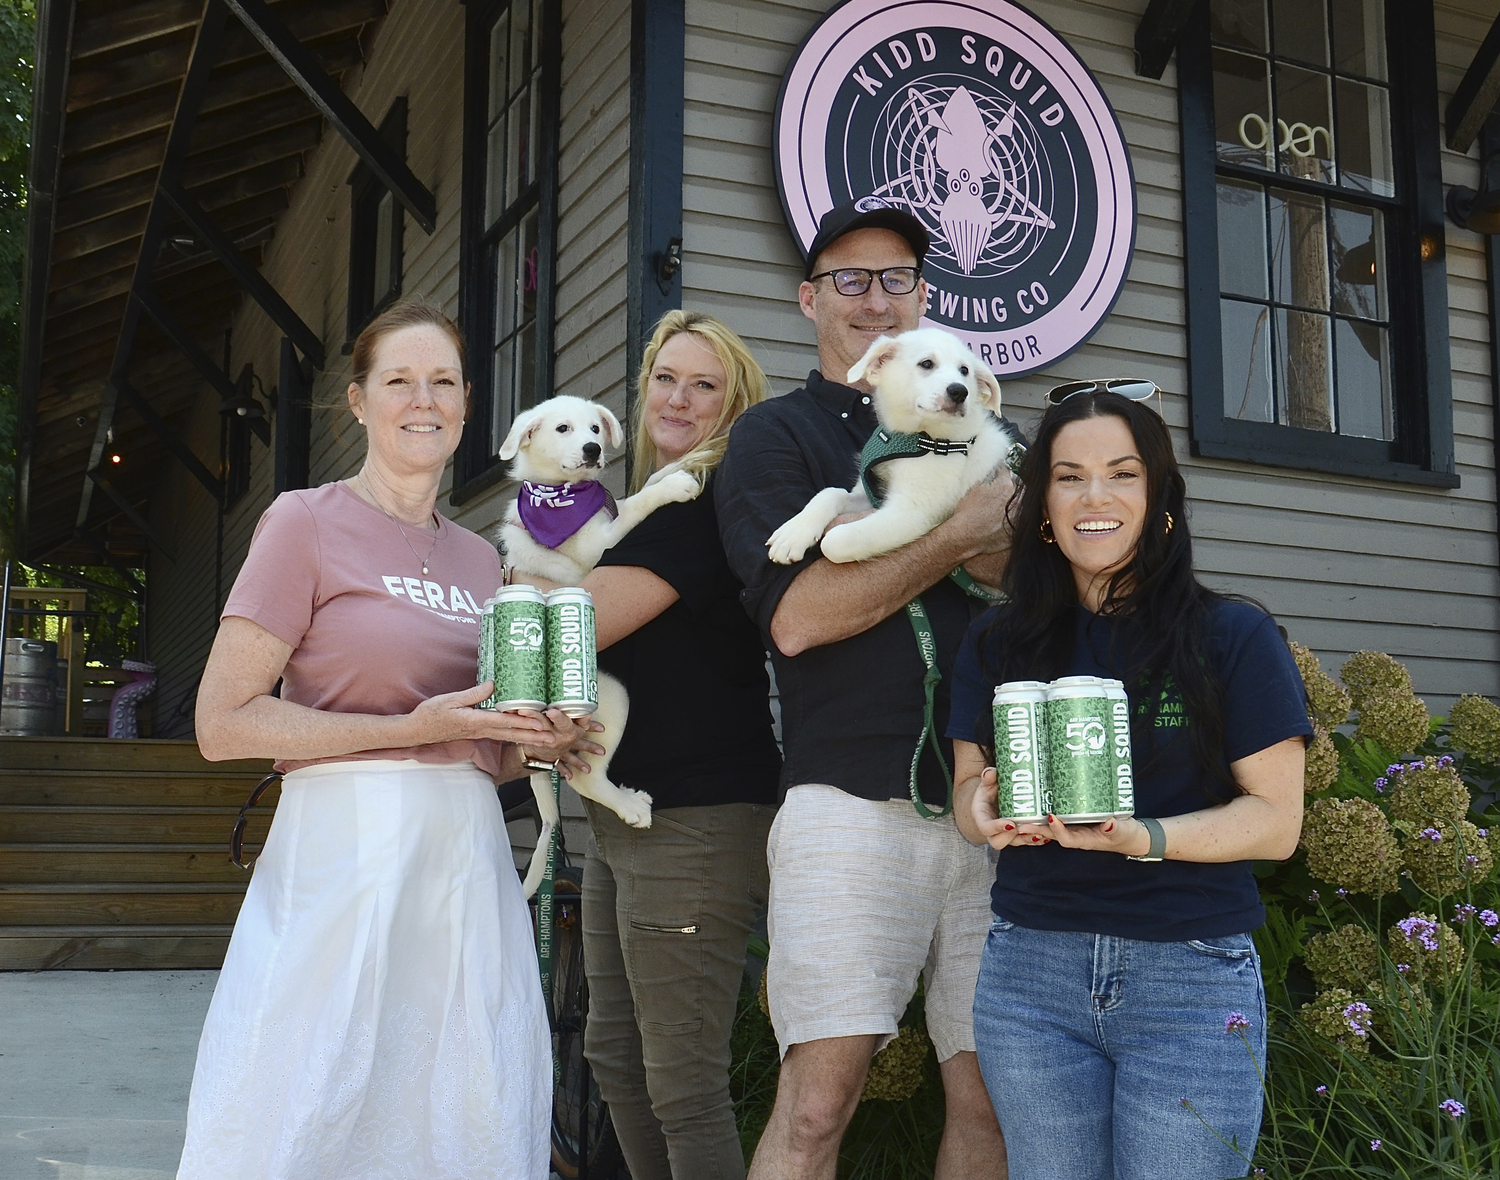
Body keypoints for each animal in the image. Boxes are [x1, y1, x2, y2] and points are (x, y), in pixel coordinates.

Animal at [768, 329, 1014, 569]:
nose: (960, 392)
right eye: (927, 363)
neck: (919, 439)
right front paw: (793, 534)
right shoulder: (872, 494)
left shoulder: (916, 511)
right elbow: (831, 493)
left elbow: (835, 542)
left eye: (964, 370)